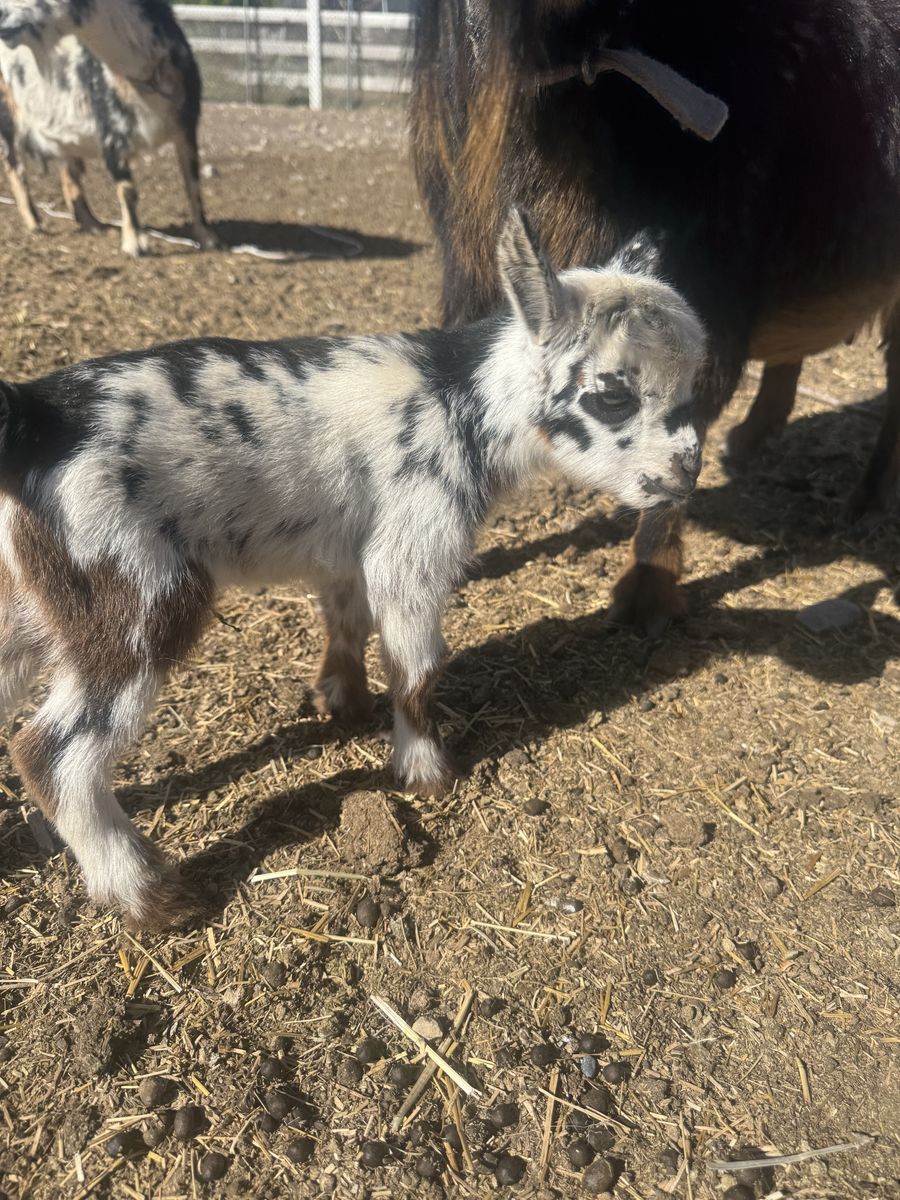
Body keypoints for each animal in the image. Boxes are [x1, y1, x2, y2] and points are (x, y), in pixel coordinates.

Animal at [0, 0, 218, 255]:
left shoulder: (187, 126)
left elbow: (192, 183)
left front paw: (208, 238)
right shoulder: (110, 132)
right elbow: (127, 190)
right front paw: (134, 245)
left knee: (68, 174)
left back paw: (93, 224)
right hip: (9, 116)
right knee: (15, 168)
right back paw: (35, 225)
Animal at [0, 210, 703, 928]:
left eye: (692, 389)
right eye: (613, 397)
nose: (687, 470)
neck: (459, 403)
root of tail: (32, 416)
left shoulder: (346, 547)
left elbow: (347, 622)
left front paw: (341, 701)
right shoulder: (413, 542)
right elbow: (418, 667)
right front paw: (426, 773)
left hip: (38, 598)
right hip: (133, 590)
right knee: (52, 752)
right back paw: (150, 895)